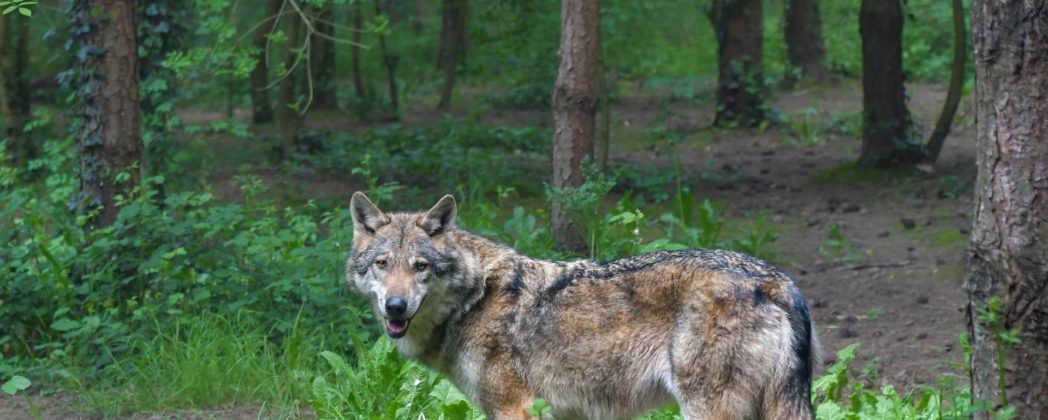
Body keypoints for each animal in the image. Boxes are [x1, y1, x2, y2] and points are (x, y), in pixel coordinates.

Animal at [346, 192, 819, 419]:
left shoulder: (515, 410)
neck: (474, 299)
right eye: (383, 264)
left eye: (420, 266)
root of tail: (775, 280)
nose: (396, 306)